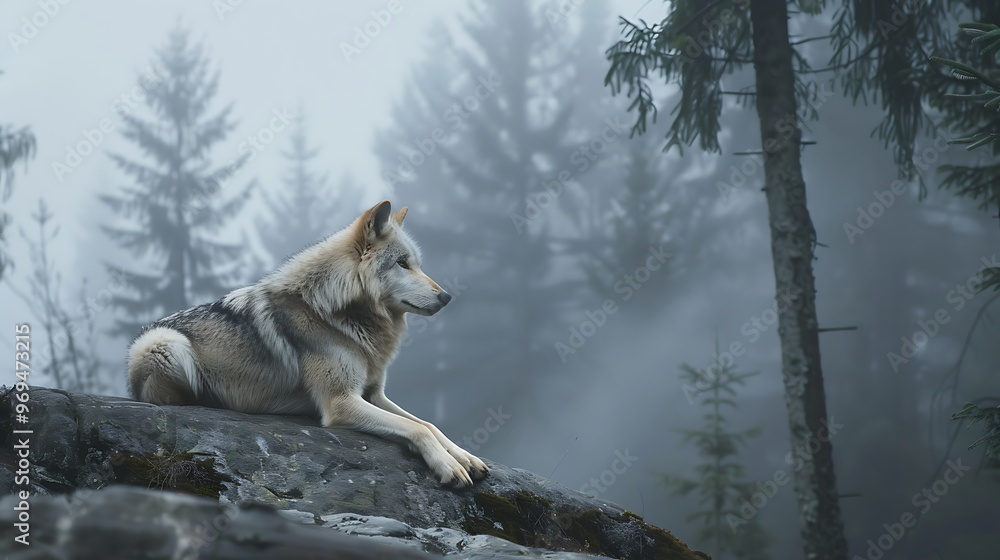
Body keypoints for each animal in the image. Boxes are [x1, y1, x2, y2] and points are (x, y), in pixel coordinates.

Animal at [126, 200, 488, 487]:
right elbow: (417, 429)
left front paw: (465, 458)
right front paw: (449, 467)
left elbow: (427, 424)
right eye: (402, 263)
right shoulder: (340, 402)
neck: (335, 312)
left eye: (417, 264)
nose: (447, 296)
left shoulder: (373, 393)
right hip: (165, 343)